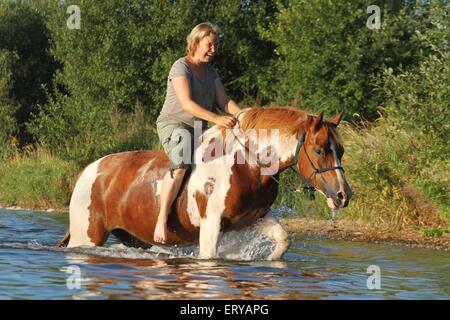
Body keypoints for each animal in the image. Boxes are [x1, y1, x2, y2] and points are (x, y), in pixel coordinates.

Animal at [58, 107, 352, 260]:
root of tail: (89, 170)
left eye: (341, 150)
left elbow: (283, 240)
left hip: (132, 237)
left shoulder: (254, 218)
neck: (248, 165)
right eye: (319, 150)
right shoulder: (211, 225)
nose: (343, 195)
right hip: (87, 236)